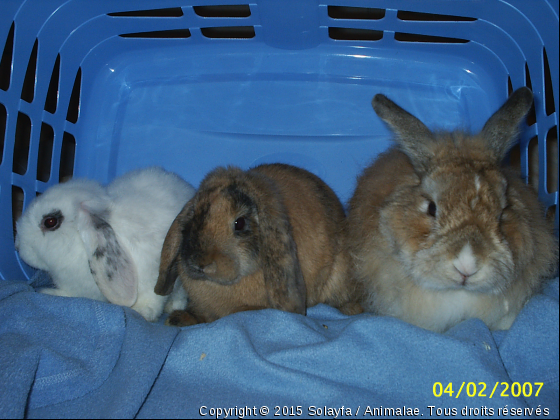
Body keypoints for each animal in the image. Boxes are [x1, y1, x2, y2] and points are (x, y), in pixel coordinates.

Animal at [15, 167, 196, 322]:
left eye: (50, 221)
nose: (17, 245)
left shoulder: (154, 280)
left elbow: (152, 300)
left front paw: (140, 312)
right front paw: (49, 292)